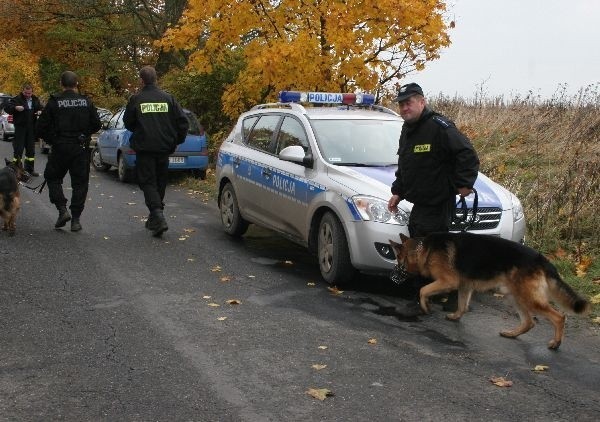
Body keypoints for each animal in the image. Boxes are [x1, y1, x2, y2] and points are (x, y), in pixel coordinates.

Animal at [390, 231, 592, 350]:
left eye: (398, 260)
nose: (393, 275)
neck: (424, 249)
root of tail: (543, 260)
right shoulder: (465, 285)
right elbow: (462, 305)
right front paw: (455, 316)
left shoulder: (448, 281)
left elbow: (423, 290)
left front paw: (425, 307)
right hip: (514, 296)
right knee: (529, 322)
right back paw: (511, 334)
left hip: (527, 298)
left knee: (559, 317)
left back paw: (556, 343)